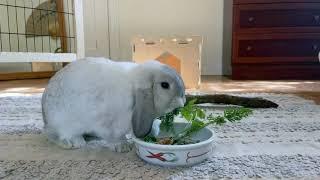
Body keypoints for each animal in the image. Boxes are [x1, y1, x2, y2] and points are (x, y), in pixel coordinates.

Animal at [41, 57, 186, 152]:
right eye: (165, 85)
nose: (182, 102)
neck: (133, 90)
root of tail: (46, 119)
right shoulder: (106, 123)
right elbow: (114, 136)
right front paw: (123, 146)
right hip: (63, 122)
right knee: (52, 134)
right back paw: (73, 143)